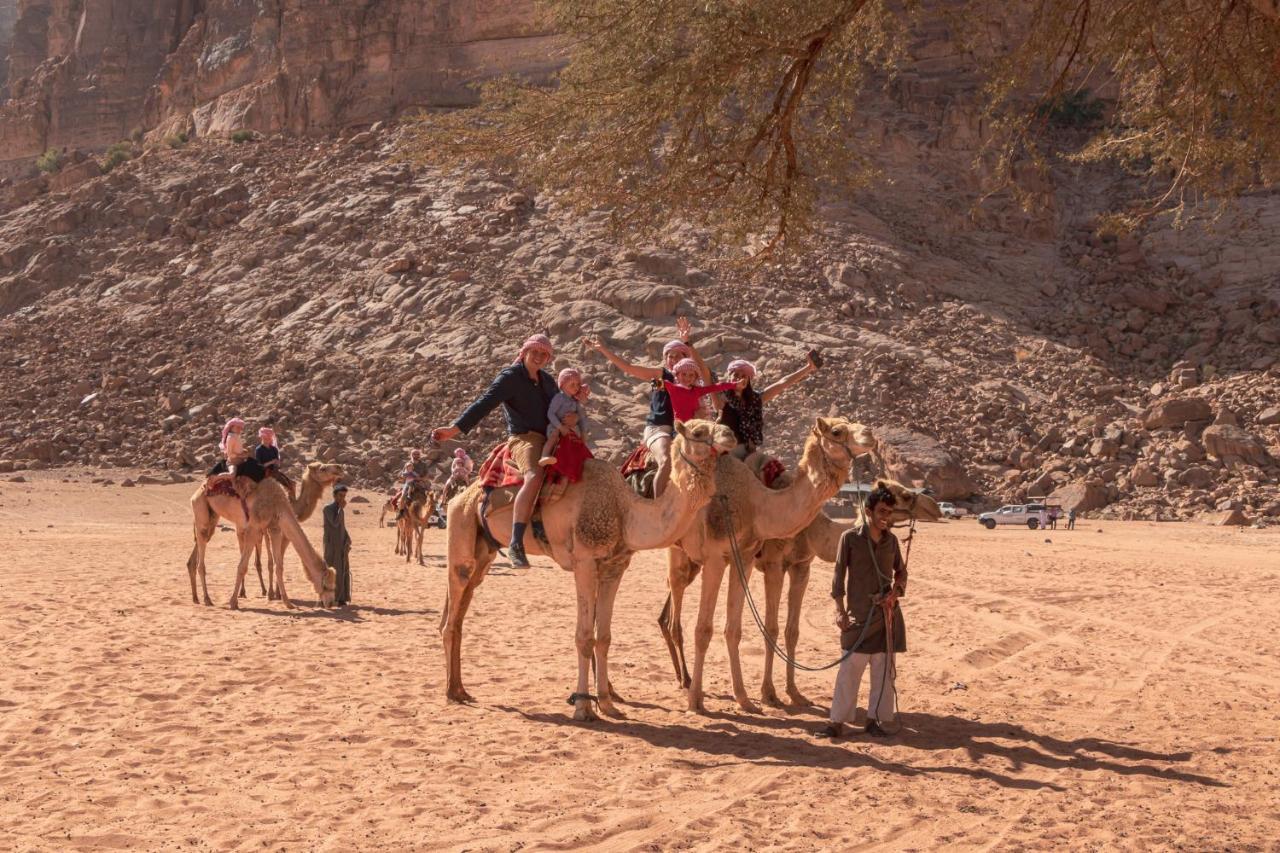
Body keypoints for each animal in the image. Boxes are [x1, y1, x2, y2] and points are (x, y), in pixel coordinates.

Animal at [186, 458, 343, 604]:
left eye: (334, 586)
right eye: (326, 586)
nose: (331, 603)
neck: (281, 502)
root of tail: (200, 488)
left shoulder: (275, 528)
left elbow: (278, 565)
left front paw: (284, 599)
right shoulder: (256, 527)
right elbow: (250, 565)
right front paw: (242, 599)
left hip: (213, 517)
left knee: (200, 544)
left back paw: (196, 597)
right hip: (201, 509)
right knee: (202, 554)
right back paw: (207, 599)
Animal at [442, 417, 737, 717]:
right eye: (698, 432)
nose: (731, 435)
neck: (625, 511)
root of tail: (459, 496)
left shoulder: (615, 567)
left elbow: (603, 636)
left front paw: (607, 704)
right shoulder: (584, 562)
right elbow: (584, 636)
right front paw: (583, 706)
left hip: (484, 552)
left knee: (461, 607)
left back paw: (461, 689)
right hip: (462, 527)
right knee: (454, 605)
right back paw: (452, 692)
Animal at [660, 412, 880, 712]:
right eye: (836, 432)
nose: (870, 434)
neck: (758, 504)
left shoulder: (763, 560)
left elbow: (753, 630)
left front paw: (756, 697)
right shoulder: (747, 561)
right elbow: (713, 629)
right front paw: (704, 701)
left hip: (695, 560)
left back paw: (684, 678)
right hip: (679, 553)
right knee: (676, 607)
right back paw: (684, 683)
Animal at [747, 479, 942, 701]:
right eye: (905, 495)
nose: (934, 507)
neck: (811, 529)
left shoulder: (801, 567)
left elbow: (792, 631)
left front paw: (794, 691)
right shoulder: (774, 565)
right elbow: (771, 629)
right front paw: (768, 693)